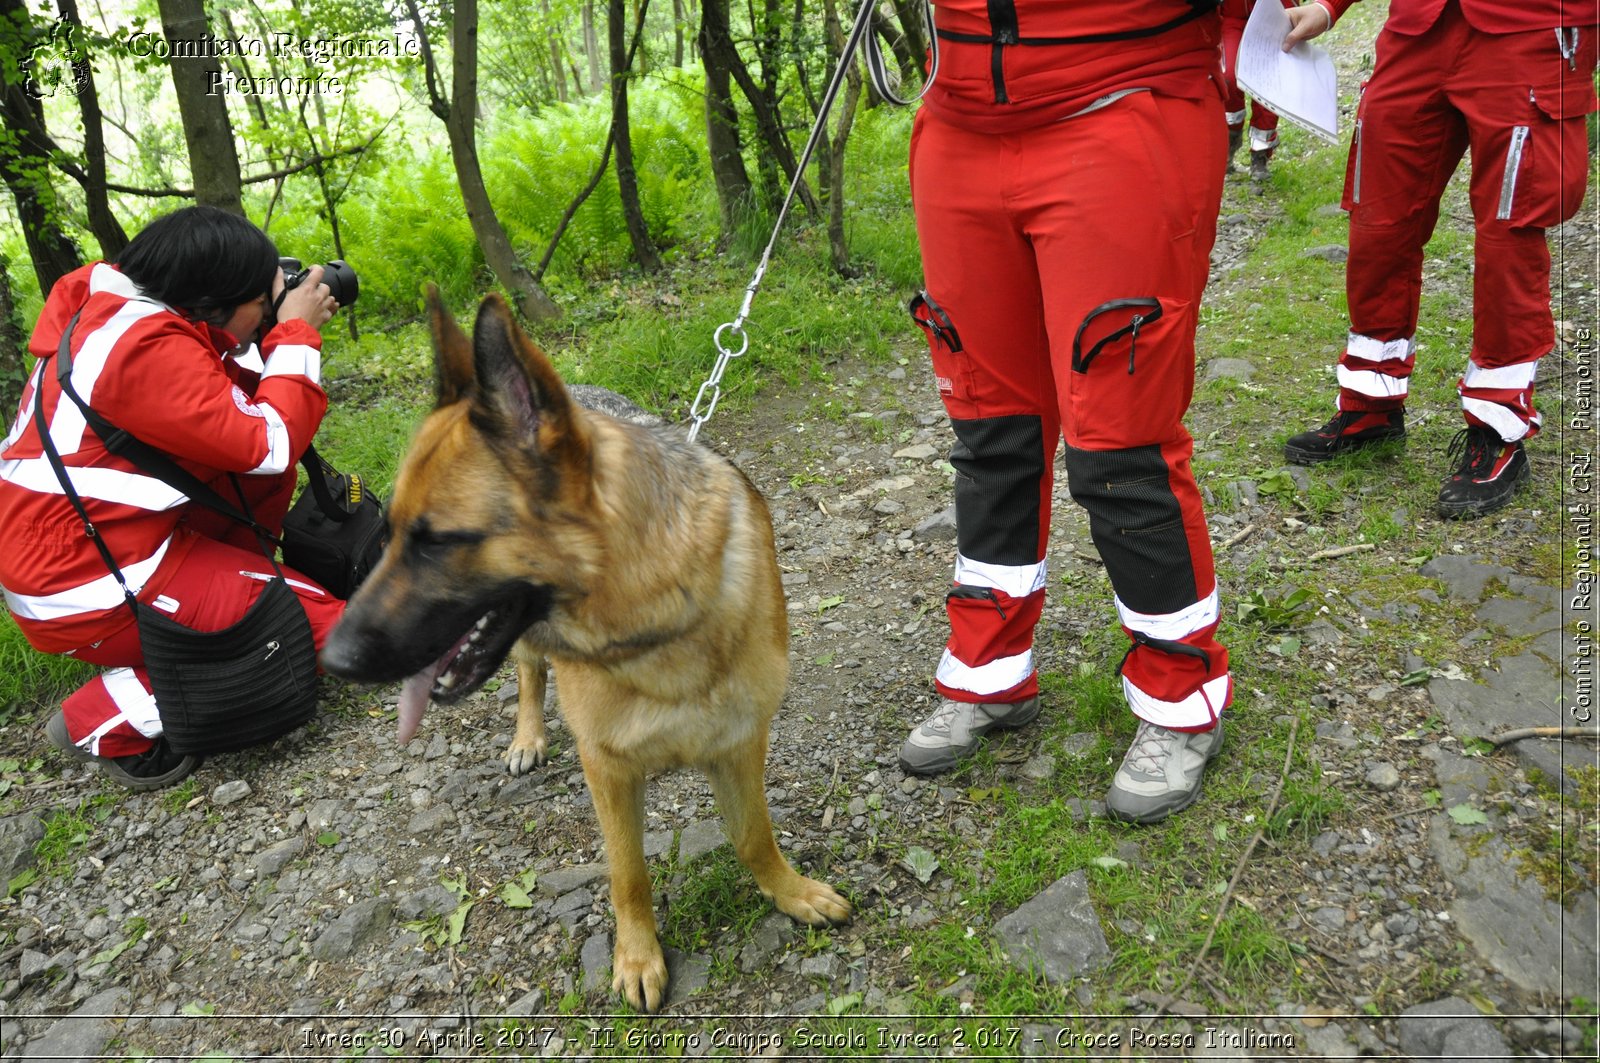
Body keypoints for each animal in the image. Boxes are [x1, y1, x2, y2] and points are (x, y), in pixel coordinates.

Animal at [318, 291, 857, 1011]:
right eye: (391, 533)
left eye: (438, 541)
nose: (333, 659)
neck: (651, 614)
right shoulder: (608, 769)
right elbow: (627, 871)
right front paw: (637, 957)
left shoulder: (739, 743)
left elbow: (752, 834)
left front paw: (790, 892)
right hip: (522, 653)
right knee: (530, 679)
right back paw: (526, 738)